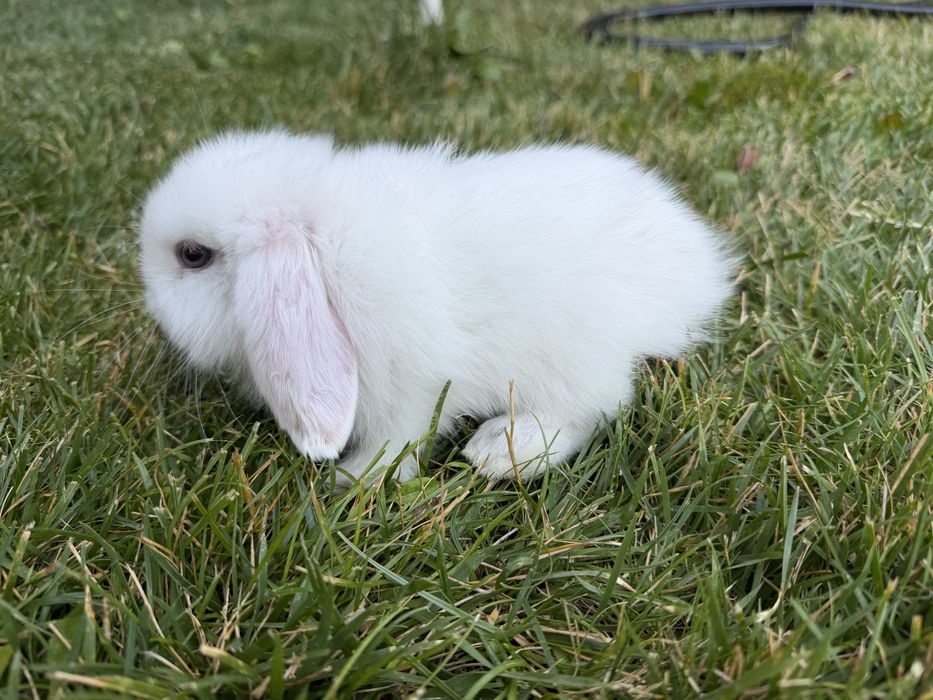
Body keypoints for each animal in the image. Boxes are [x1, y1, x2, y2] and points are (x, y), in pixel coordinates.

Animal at [139, 130, 733, 485]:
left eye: (193, 255)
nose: (153, 308)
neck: (324, 253)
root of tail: (699, 268)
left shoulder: (407, 385)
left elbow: (399, 440)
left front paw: (350, 480)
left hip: (569, 353)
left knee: (595, 407)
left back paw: (500, 452)